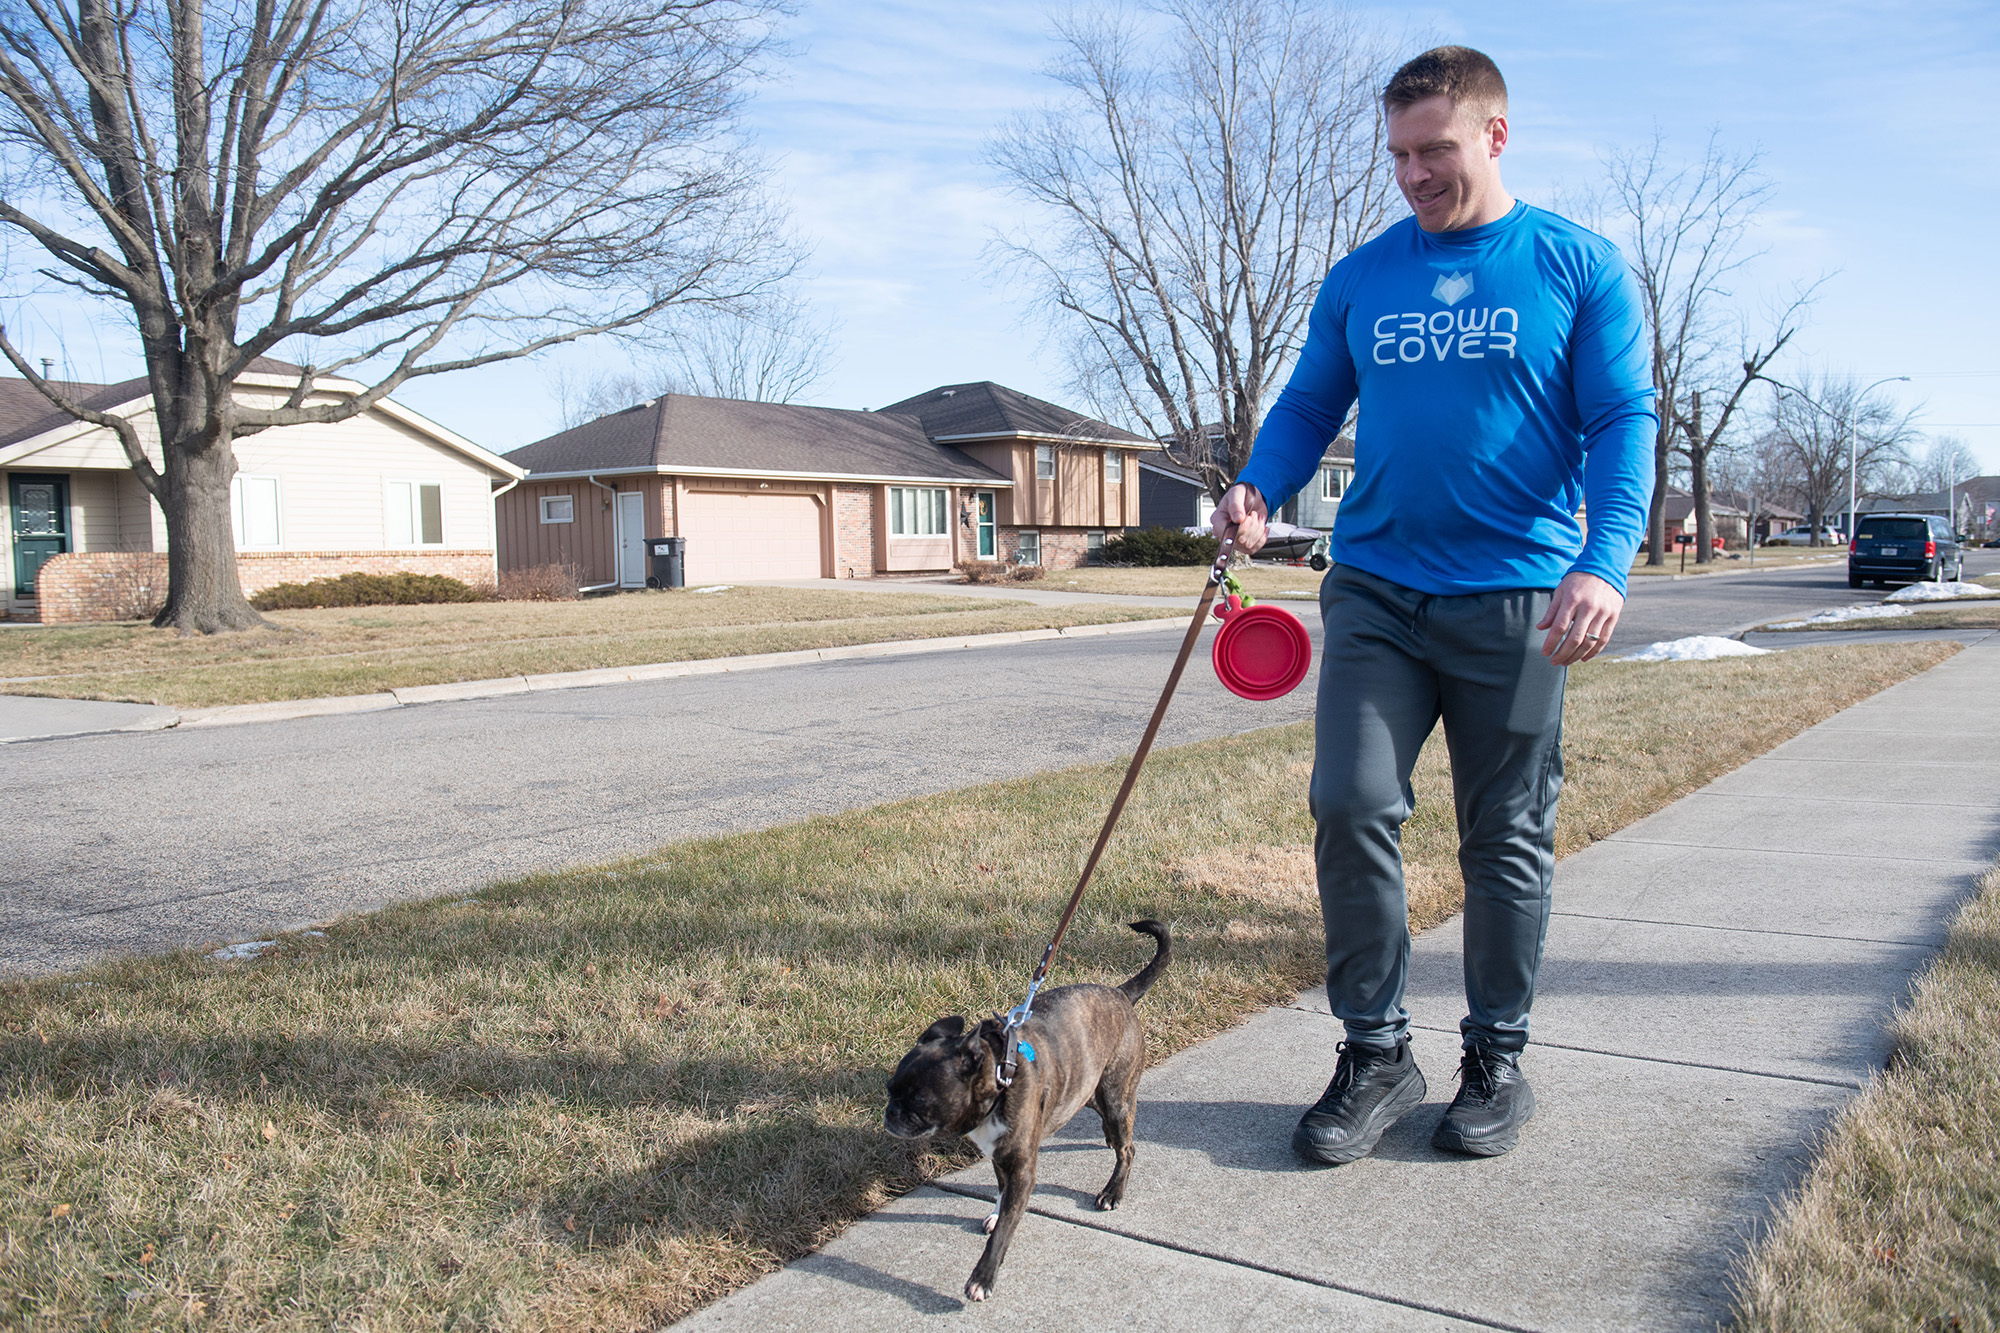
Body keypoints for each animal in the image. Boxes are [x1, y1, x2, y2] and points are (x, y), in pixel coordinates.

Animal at [880, 920, 1168, 1288]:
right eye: (890, 1089)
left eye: (920, 1100)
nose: (891, 1113)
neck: (1000, 1079)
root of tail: (1120, 994)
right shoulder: (1000, 1159)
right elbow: (1001, 1195)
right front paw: (994, 1213)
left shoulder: (1021, 1170)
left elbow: (1005, 1229)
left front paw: (983, 1277)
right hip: (1088, 1091)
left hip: (1116, 1096)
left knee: (1127, 1148)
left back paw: (1113, 1190)